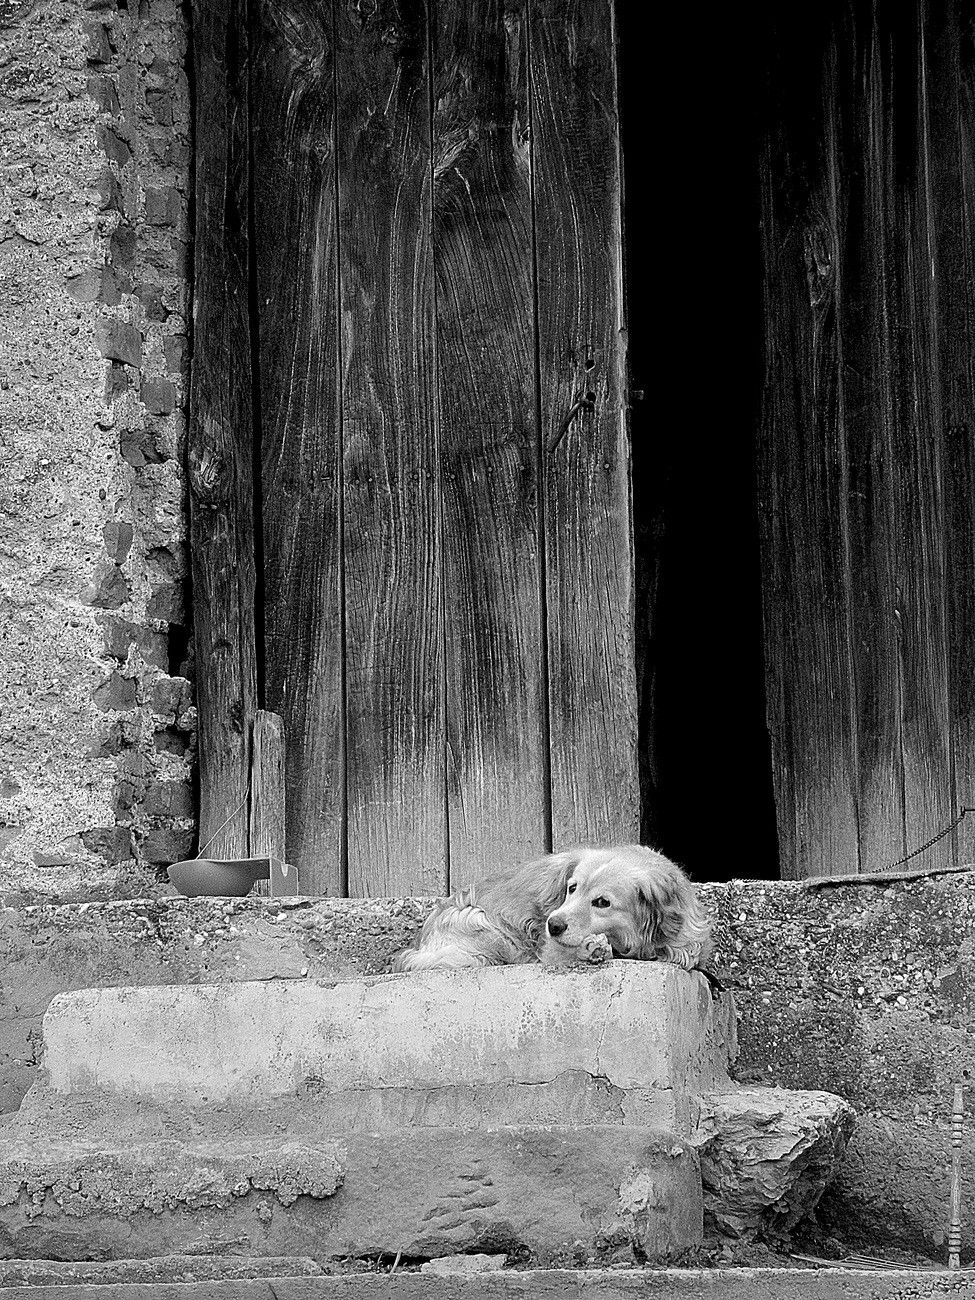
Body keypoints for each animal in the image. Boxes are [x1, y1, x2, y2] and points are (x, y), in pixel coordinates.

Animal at [392, 842, 717, 977]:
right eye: (572, 888)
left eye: (602, 902)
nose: (553, 925)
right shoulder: (548, 949)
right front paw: (591, 949)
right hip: (484, 925)